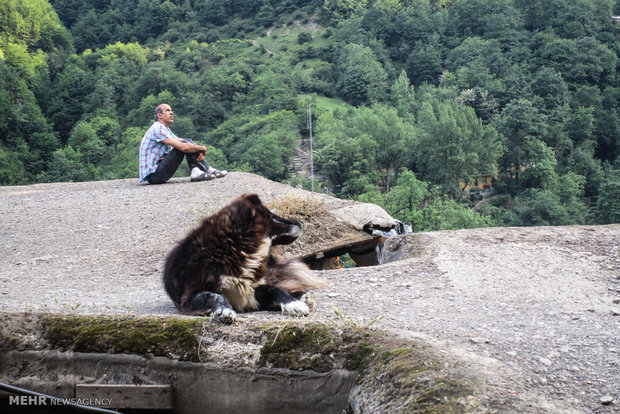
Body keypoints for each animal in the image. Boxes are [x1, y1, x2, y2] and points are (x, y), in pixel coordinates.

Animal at [165, 194, 326, 324]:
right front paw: (225, 310)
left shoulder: (254, 289)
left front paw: (294, 304)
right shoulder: (188, 297)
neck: (232, 250)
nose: (299, 222)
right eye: (273, 216)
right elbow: (214, 296)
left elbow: (276, 290)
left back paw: (303, 296)